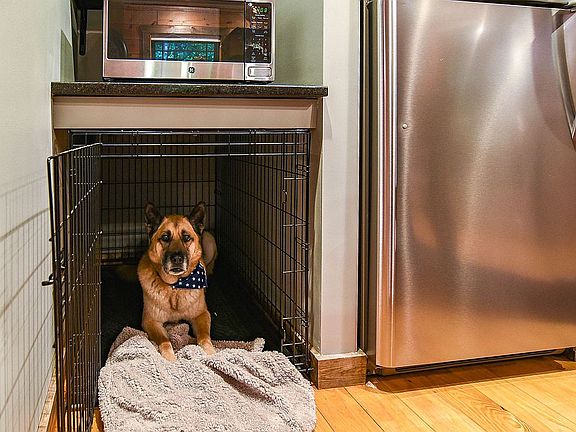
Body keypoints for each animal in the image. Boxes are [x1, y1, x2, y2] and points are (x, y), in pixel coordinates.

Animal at [138, 201, 215, 361]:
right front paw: (170, 359)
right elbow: (165, 341)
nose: (177, 259)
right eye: (165, 237)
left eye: (186, 237)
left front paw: (211, 353)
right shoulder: (150, 321)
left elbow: (204, 338)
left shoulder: (202, 314)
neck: (175, 287)